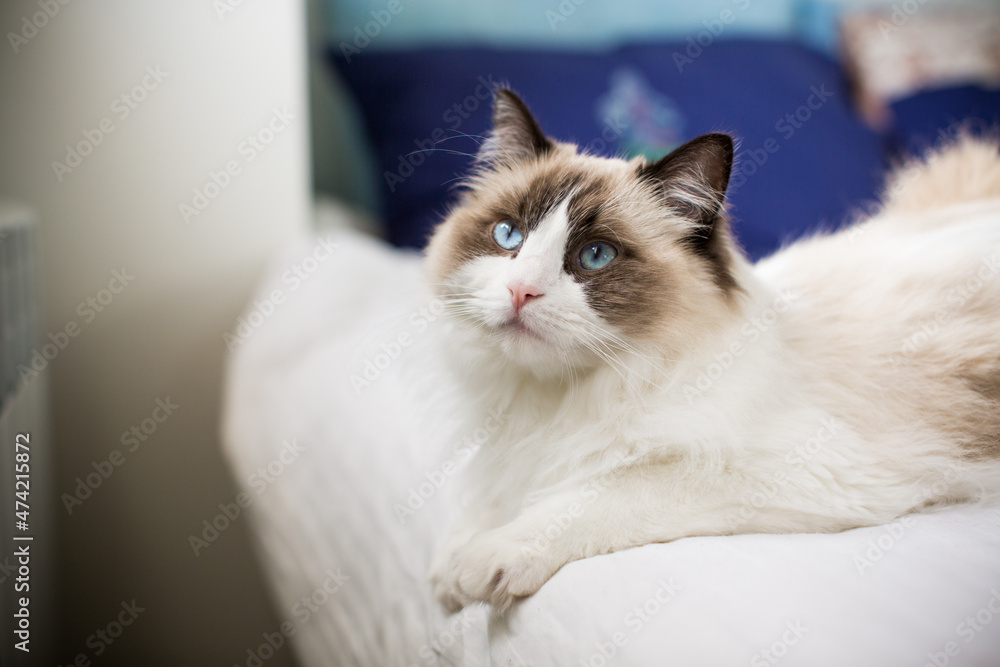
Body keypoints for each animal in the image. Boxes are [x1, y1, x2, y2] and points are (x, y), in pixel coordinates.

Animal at [424, 88, 1000, 616]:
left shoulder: (792, 472)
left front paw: (482, 562)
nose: (520, 290)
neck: (563, 398)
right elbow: (478, 507)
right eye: (508, 235)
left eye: (595, 256)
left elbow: (596, 497)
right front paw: (447, 576)